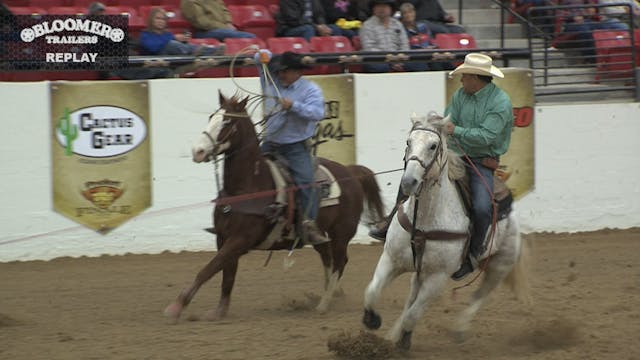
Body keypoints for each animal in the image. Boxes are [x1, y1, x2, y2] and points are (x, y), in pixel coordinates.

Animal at [165, 93, 384, 324]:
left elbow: (209, 268)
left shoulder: (240, 239)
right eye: (211, 117)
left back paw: (324, 303)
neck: (249, 186)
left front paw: (176, 306)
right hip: (321, 235)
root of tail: (350, 172)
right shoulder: (223, 237)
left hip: (341, 234)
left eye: (227, 122)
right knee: (328, 259)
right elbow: (227, 274)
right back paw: (332, 295)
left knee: (340, 261)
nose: (198, 151)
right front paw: (220, 310)